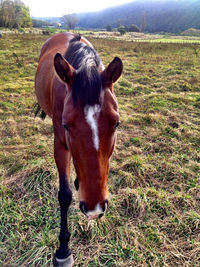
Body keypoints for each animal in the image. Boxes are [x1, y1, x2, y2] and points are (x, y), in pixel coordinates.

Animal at [34, 33, 122, 267]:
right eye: (66, 125)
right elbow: (64, 195)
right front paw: (63, 250)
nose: (94, 209)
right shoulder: (60, 144)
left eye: (117, 123)